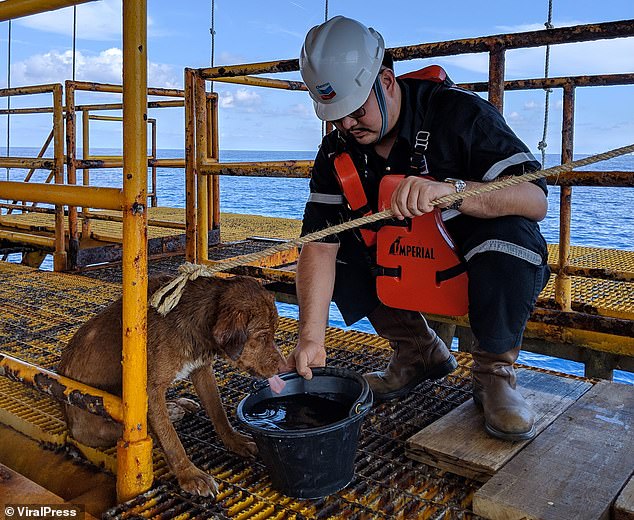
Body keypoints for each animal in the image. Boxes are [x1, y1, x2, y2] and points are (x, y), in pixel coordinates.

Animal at [56, 272, 284, 496]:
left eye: (274, 333)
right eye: (262, 336)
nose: (283, 368)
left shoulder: (202, 370)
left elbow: (218, 413)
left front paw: (234, 440)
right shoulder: (151, 390)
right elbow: (171, 439)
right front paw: (190, 475)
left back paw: (178, 405)